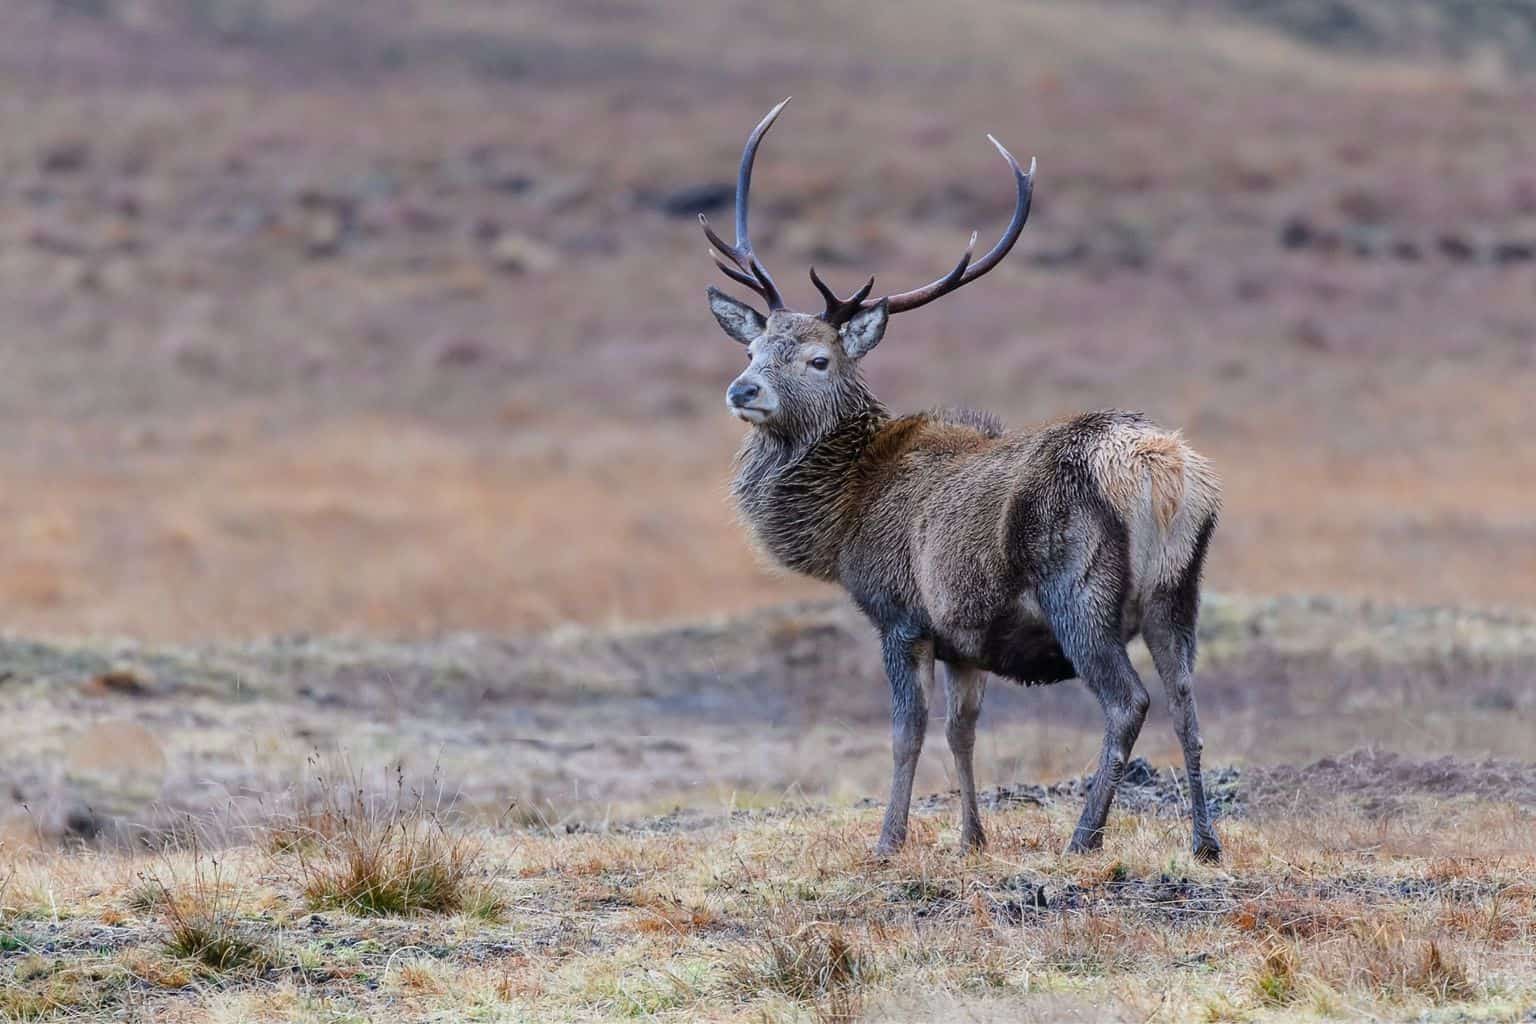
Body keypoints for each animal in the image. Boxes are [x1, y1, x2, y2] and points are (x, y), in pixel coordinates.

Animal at [701, 99, 1223, 863]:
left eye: (820, 359)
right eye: (752, 348)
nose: (743, 391)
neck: (844, 516)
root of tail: (1162, 474)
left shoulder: (900, 614)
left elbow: (906, 732)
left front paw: (888, 842)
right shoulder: (963, 640)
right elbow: (963, 731)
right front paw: (972, 837)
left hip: (1079, 591)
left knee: (1129, 701)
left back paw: (1084, 837)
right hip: (1178, 594)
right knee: (1187, 700)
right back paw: (1205, 843)